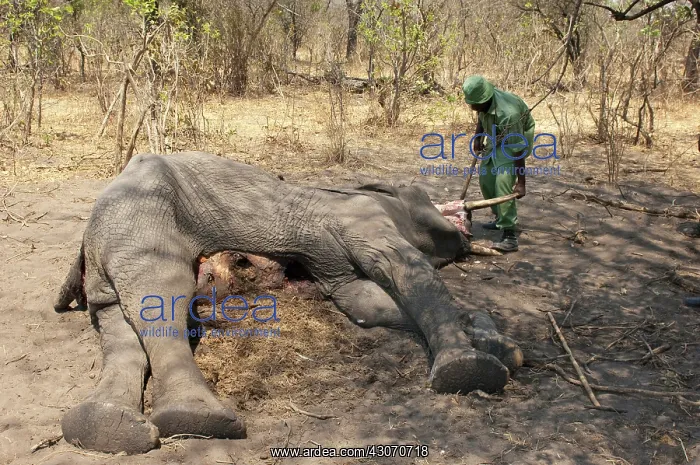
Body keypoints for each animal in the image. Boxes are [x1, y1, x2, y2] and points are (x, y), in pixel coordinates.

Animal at [54, 151, 522, 454]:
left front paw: (499, 346)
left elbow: (362, 301)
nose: (469, 226)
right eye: (426, 197)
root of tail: (87, 233)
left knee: (119, 325)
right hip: (142, 221)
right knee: (162, 299)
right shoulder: (361, 216)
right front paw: (470, 367)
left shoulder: (330, 259)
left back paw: (103, 429)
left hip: (110, 256)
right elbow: (402, 266)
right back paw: (199, 422)